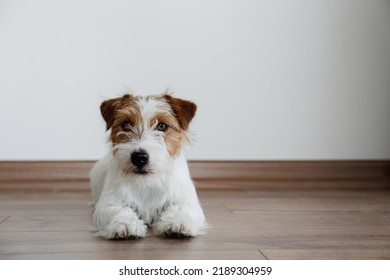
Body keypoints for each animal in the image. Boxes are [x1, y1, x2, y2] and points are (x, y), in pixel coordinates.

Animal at [90, 93, 207, 240]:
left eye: (162, 126)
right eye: (126, 124)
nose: (139, 157)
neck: (147, 182)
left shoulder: (187, 202)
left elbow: (181, 209)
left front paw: (177, 223)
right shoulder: (109, 204)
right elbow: (120, 210)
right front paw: (125, 224)